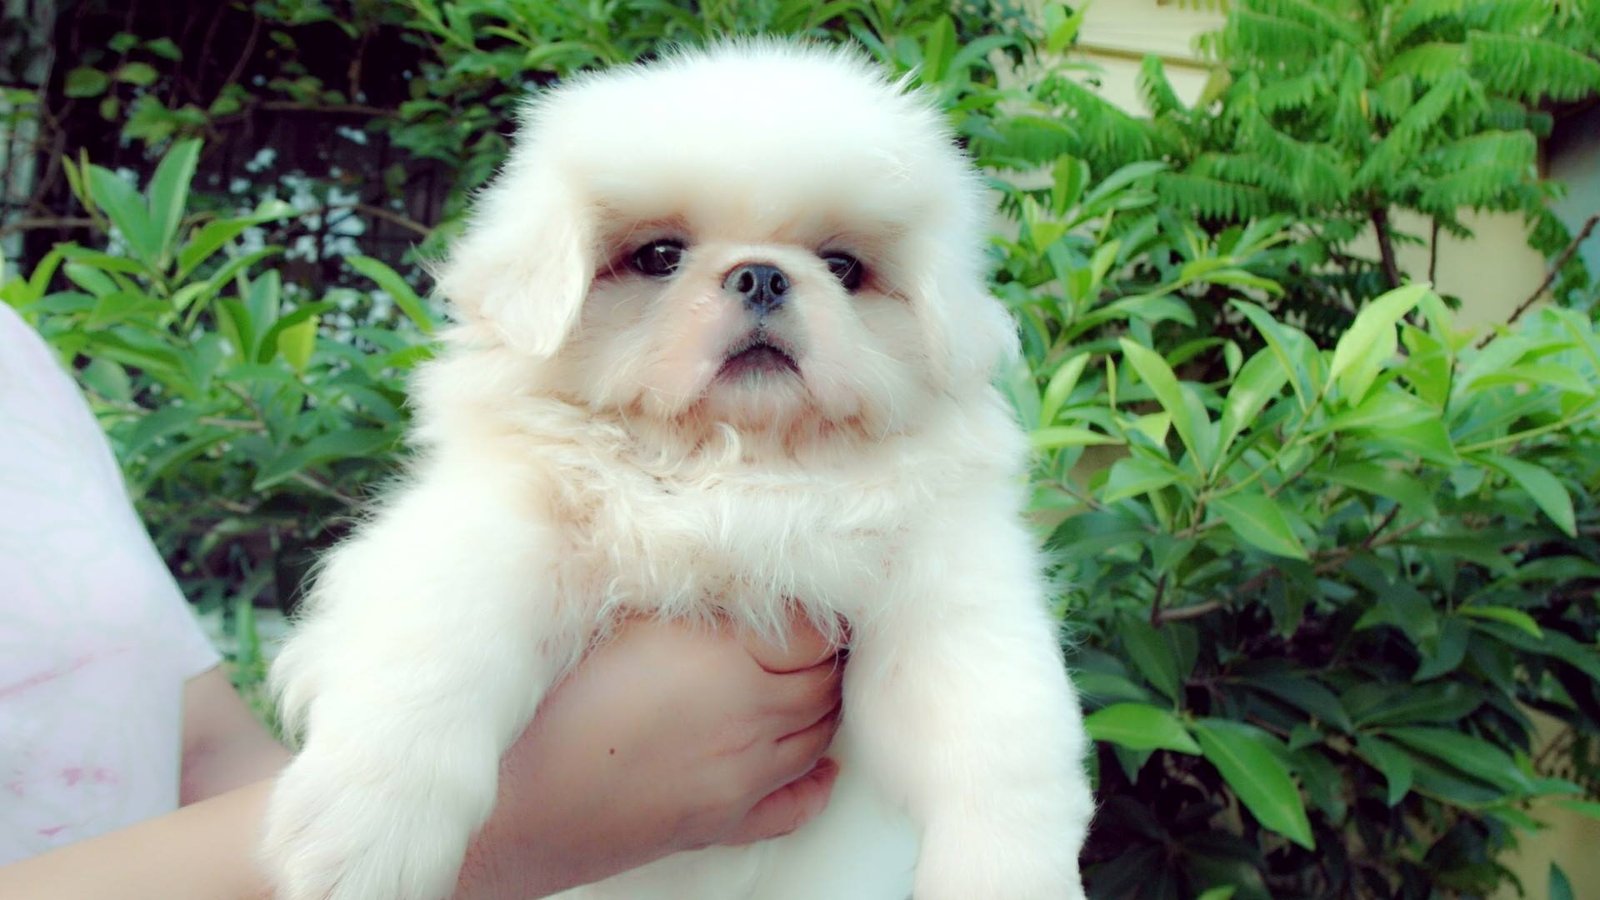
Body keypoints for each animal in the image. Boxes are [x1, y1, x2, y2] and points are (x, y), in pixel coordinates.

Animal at [262, 38, 1094, 890]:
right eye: (660, 256)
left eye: (843, 267)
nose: (762, 273)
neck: (731, 465)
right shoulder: (493, 526)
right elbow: (429, 657)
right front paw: (360, 845)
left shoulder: (950, 590)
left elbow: (1000, 740)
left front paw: (1010, 878)